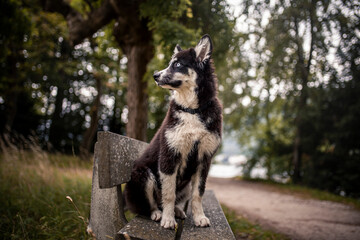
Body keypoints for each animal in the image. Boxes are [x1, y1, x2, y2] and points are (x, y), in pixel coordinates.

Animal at [126, 34, 222, 230]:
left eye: (178, 64)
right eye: (171, 63)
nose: (155, 75)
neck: (192, 110)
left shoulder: (204, 159)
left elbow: (197, 194)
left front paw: (199, 217)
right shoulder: (169, 155)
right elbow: (168, 194)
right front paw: (168, 219)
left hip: (185, 184)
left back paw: (178, 210)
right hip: (144, 174)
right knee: (148, 205)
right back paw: (157, 213)